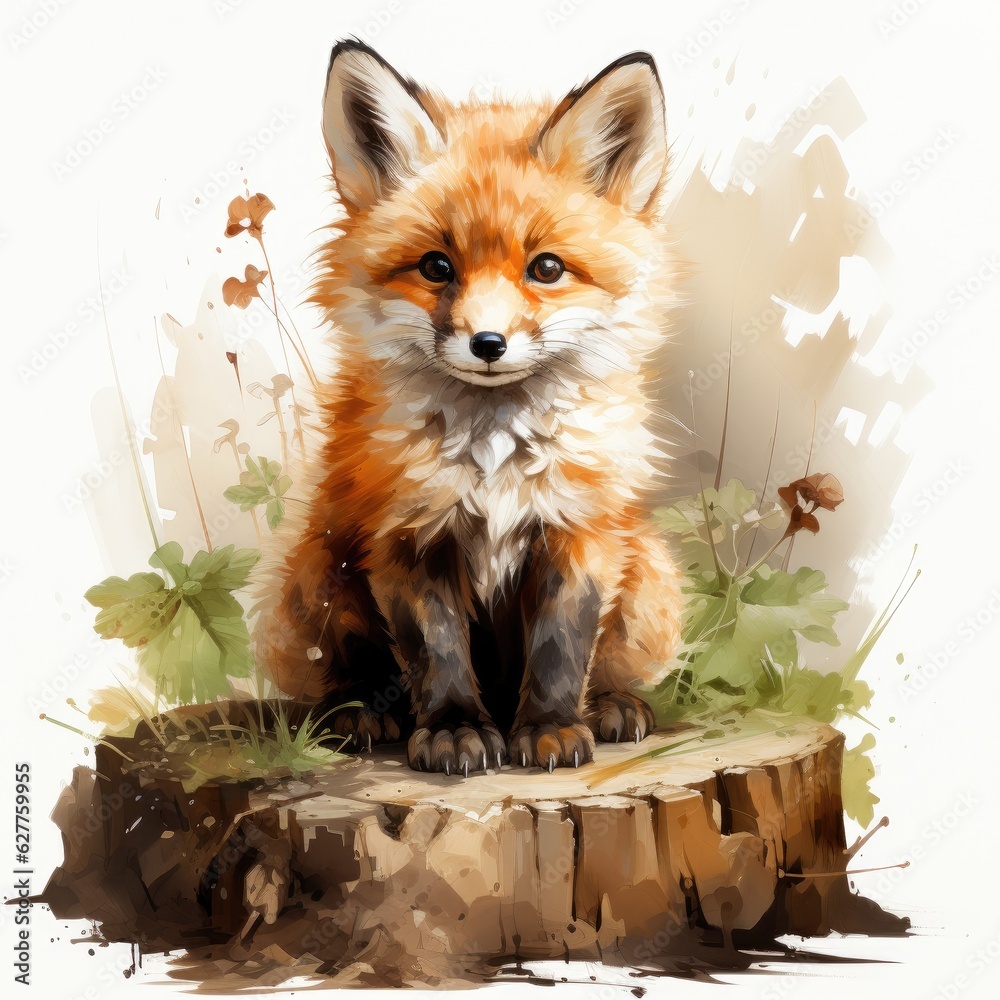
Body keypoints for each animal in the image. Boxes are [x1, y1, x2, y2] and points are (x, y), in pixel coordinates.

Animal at [255, 40, 682, 775]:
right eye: (435, 267)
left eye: (546, 268)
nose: (487, 343)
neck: (493, 454)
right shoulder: (408, 534)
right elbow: (438, 651)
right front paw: (454, 730)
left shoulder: (579, 530)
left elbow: (562, 646)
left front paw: (550, 728)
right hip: (308, 574)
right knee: (348, 676)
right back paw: (360, 711)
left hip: (648, 573)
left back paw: (610, 705)